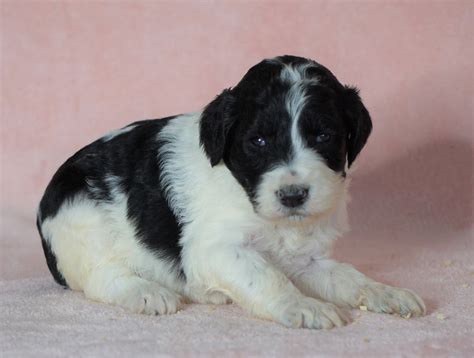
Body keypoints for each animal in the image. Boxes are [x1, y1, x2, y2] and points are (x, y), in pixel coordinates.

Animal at [37, 55, 426, 328]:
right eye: (258, 141)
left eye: (323, 136)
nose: (293, 195)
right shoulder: (215, 249)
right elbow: (267, 278)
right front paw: (305, 306)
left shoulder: (306, 258)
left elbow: (347, 276)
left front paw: (386, 292)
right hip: (83, 219)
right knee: (101, 277)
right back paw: (148, 292)